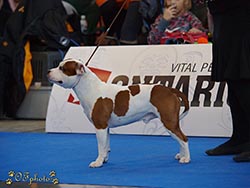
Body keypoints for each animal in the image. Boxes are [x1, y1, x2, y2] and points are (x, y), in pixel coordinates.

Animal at [47, 58, 191, 167]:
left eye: (62, 68)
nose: (48, 71)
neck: (90, 88)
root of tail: (169, 90)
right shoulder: (105, 127)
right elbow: (106, 145)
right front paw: (104, 159)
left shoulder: (99, 125)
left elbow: (100, 146)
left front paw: (98, 162)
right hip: (171, 122)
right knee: (179, 138)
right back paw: (181, 155)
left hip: (168, 121)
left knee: (183, 138)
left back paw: (186, 159)